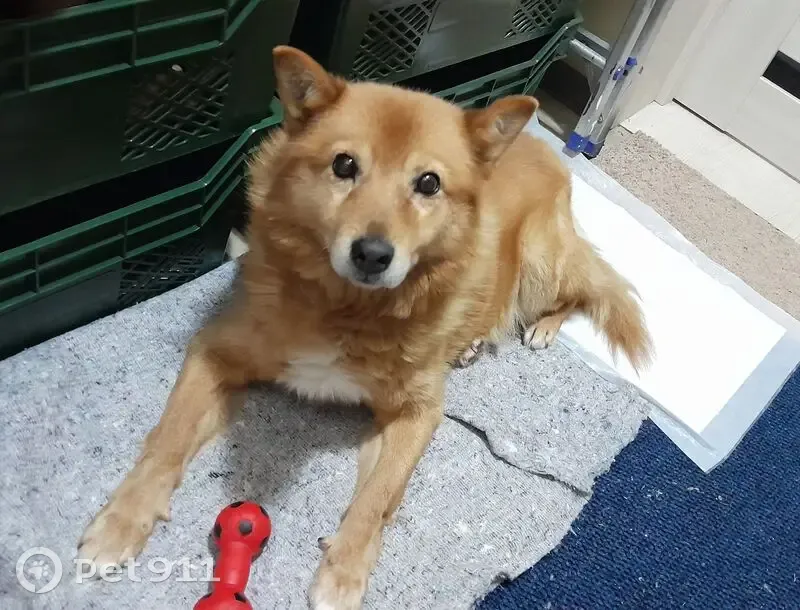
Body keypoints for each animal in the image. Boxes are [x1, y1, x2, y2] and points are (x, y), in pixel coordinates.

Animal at [78, 46, 652, 609]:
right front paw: (120, 523)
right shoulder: (215, 351)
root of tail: (545, 148)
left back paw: (542, 329)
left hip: (539, 262)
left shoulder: (417, 413)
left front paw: (344, 573)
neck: (346, 307)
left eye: (428, 183)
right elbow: (168, 440)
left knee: (581, 292)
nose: (373, 254)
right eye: (344, 165)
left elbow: (376, 499)